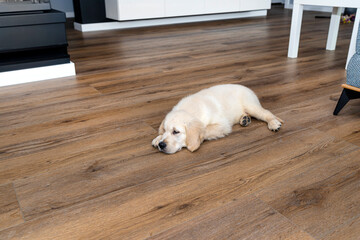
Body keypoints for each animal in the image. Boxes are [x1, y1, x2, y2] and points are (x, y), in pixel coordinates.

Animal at [150, 84, 282, 154]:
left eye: (176, 132)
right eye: (165, 130)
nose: (162, 145)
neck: (190, 110)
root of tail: (247, 87)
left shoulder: (223, 125)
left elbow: (205, 130)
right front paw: (158, 138)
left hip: (251, 105)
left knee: (266, 113)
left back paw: (274, 123)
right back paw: (245, 119)